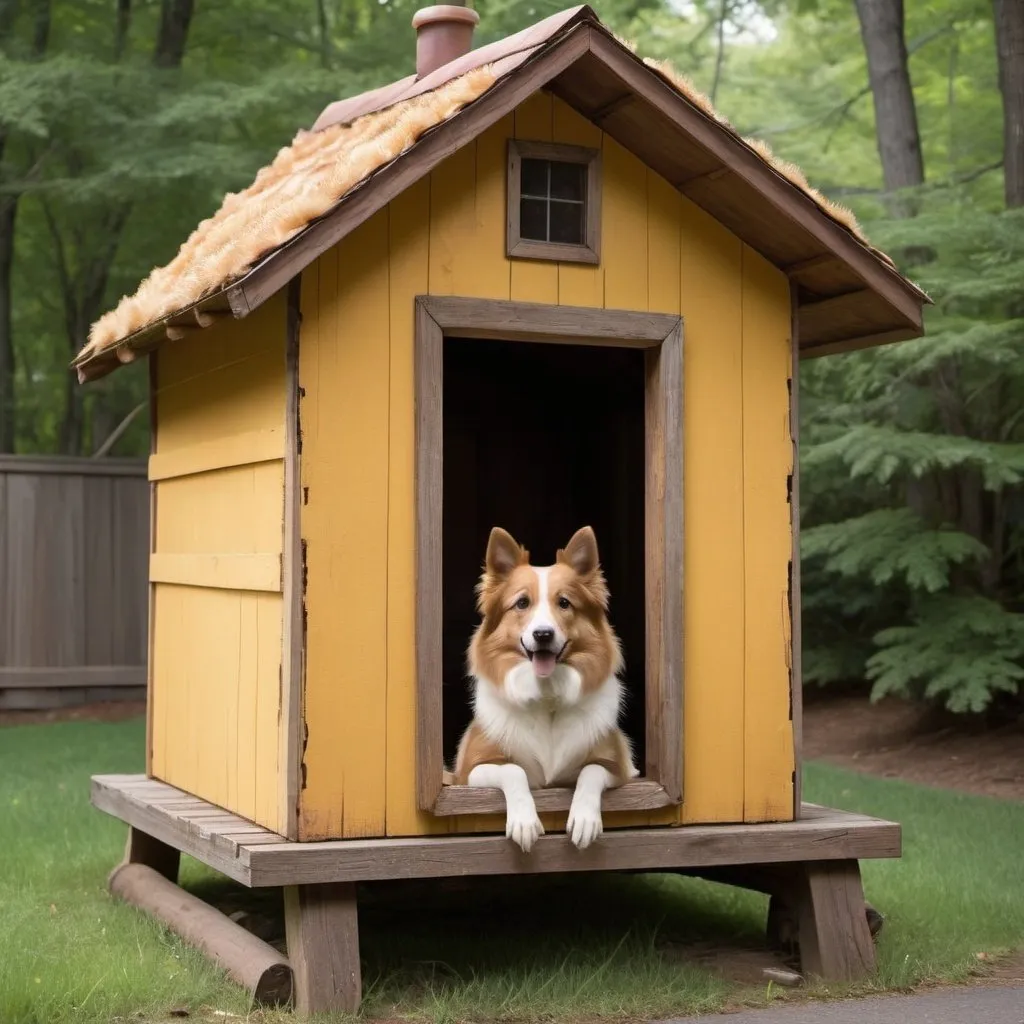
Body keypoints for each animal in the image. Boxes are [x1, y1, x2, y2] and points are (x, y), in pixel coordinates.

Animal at [452, 524, 634, 851]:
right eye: (522, 603)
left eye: (564, 603)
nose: (543, 634)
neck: (546, 694)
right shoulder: (470, 771)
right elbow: (514, 770)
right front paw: (524, 822)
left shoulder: (621, 768)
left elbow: (590, 771)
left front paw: (585, 819)